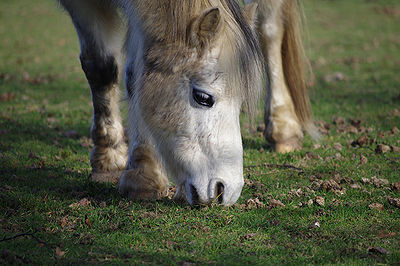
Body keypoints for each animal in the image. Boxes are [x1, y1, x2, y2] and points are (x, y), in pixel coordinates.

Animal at [57, 0, 318, 206]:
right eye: (203, 97)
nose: (225, 190)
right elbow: (101, 67)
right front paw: (112, 160)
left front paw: (141, 173)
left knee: (269, 28)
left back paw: (283, 128)